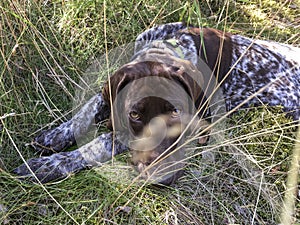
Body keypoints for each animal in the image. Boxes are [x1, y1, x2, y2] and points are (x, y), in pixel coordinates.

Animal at [14, 22, 300, 185]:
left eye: (175, 112)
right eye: (135, 114)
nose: (163, 177)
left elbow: (98, 142)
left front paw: (52, 164)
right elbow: (89, 107)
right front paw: (56, 135)